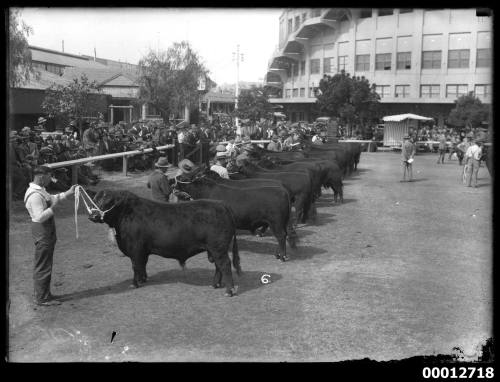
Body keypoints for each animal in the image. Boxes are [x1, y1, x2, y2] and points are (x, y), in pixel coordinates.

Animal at [89, 190, 241, 296]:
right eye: (94, 199)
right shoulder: (143, 251)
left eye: (108, 201)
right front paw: (143, 279)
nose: (93, 216)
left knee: (225, 265)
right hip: (214, 249)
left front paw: (134, 283)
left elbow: (135, 266)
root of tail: (221, 204)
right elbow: (142, 265)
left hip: (218, 248)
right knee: (218, 266)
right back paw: (215, 285)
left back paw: (229, 291)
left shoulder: (135, 249)